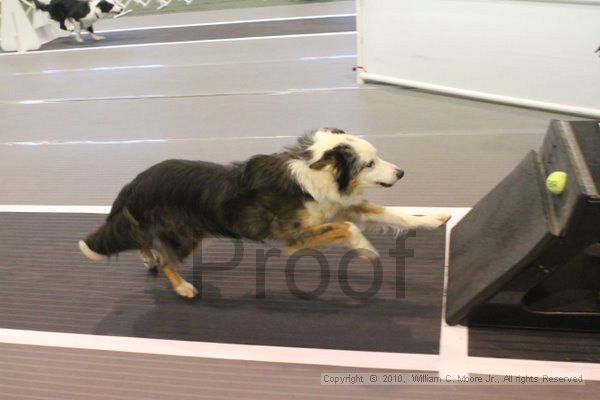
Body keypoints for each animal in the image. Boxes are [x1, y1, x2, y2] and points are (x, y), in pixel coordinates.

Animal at [78, 128, 450, 296]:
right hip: (186, 235)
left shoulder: (340, 206)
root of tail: (132, 184)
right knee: (165, 257)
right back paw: (183, 287)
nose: (401, 173)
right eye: (369, 163)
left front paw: (435, 219)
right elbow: (348, 228)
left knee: (144, 241)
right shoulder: (295, 236)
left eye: (376, 158)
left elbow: (394, 215)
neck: (315, 173)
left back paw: (148, 259)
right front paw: (366, 250)